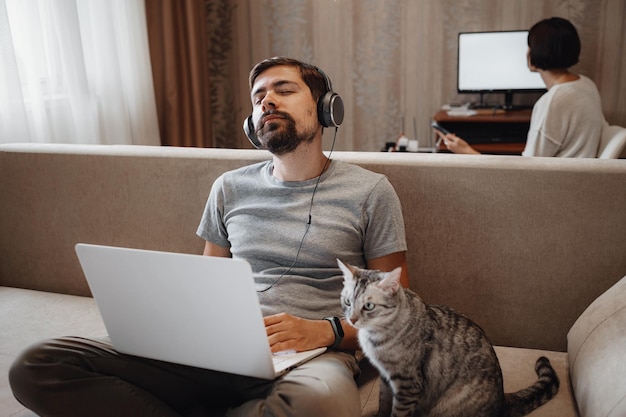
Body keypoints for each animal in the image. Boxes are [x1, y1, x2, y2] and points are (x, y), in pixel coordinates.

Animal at [338, 260, 560, 416]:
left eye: (368, 306)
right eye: (347, 302)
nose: (352, 319)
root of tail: (501, 402)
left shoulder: (408, 385)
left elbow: (397, 412)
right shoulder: (385, 379)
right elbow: (383, 404)